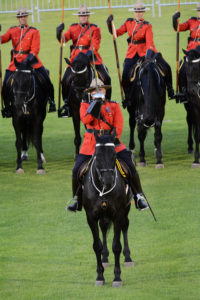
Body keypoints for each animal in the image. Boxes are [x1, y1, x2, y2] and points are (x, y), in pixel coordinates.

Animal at [82, 131, 134, 286]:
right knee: (104, 229)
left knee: (125, 227)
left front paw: (117, 277)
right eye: (97, 155)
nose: (109, 180)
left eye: (114, 155)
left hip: (126, 210)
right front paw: (100, 276)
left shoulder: (118, 215)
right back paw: (105, 259)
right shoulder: (91, 217)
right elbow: (97, 246)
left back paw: (128, 258)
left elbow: (116, 246)